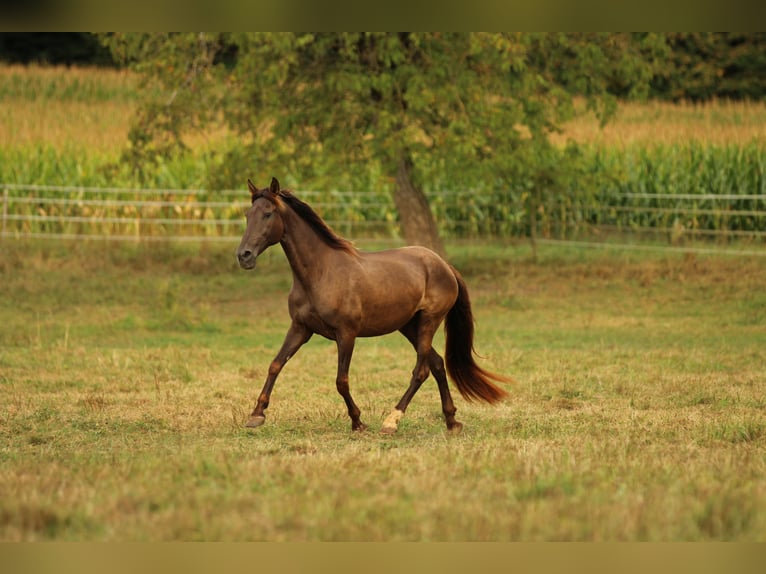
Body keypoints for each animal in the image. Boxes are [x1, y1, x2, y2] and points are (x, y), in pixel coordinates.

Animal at [234, 178, 510, 434]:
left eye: (268, 213)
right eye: (248, 215)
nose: (244, 256)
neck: (320, 273)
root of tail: (444, 265)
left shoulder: (346, 334)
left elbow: (341, 381)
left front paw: (358, 422)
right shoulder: (300, 328)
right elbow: (275, 365)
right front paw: (256, 415)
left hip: (429, 322)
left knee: (421, 370)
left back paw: (392, 421)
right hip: (409, 327)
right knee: (438, 364)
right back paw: (451, 421)